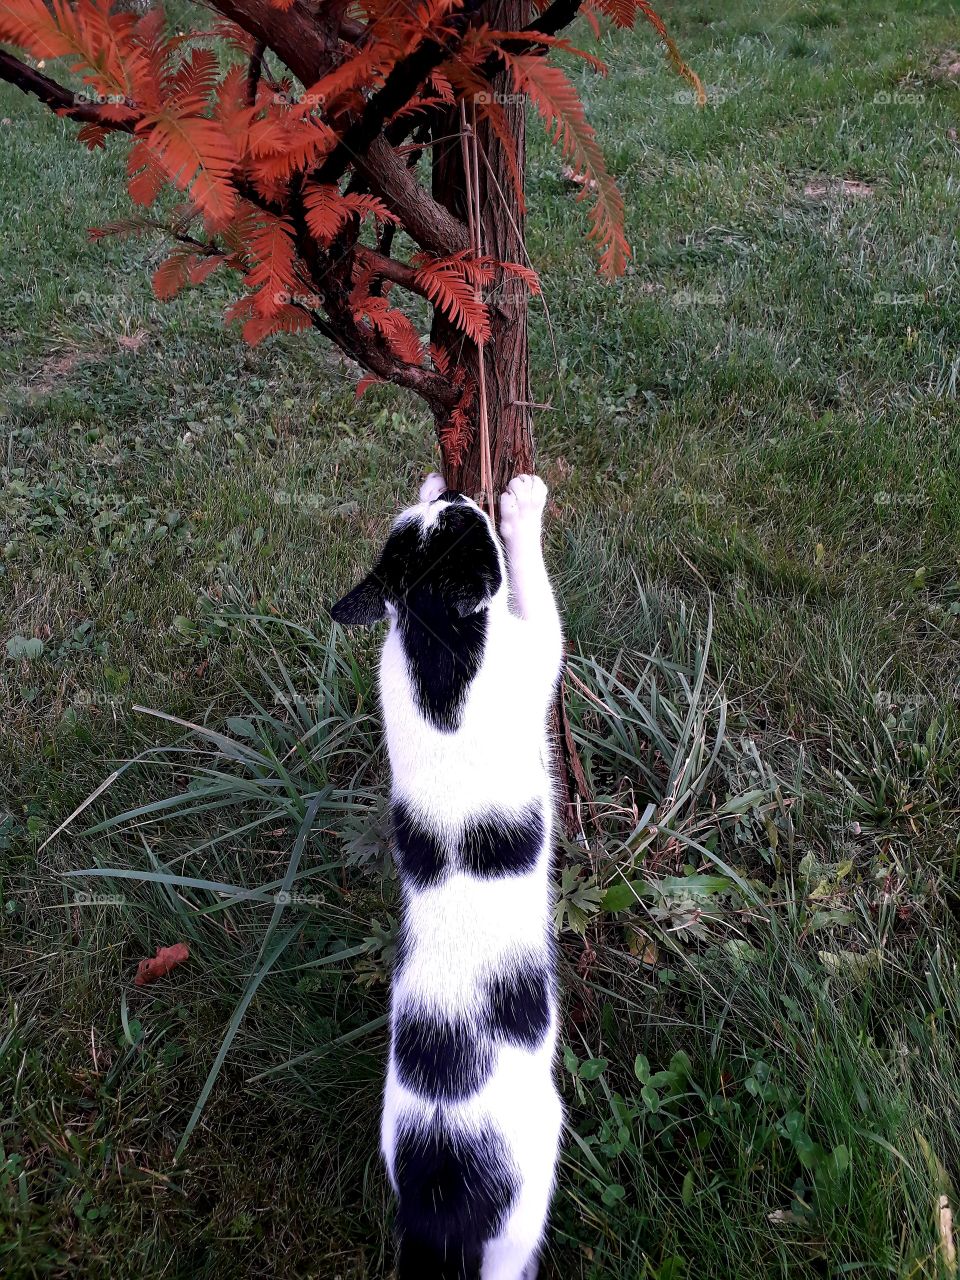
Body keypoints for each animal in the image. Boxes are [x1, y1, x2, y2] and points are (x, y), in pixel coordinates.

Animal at [335, 473, 568, 1280]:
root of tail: (440, 1196)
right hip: (532, 1180)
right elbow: (537, 593)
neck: (435, 642)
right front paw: (524, 511)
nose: (464, 493)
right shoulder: (535, 650)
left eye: (445, 514)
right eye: (472, 531)